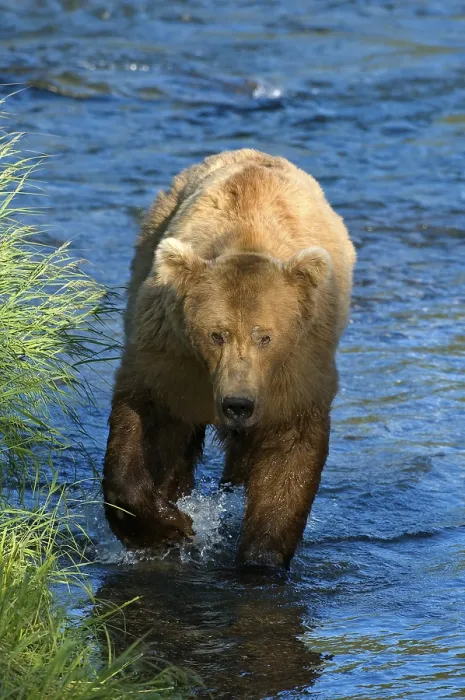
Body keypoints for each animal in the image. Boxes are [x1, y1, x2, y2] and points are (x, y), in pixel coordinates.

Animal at [103, 148, 356, 569]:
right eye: (216, 334)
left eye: (265, 336)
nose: (238, 404)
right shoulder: (173, 355)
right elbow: (145, 421)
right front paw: (169, 525)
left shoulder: (296, 368)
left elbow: (288, 455)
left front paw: (260, 558)